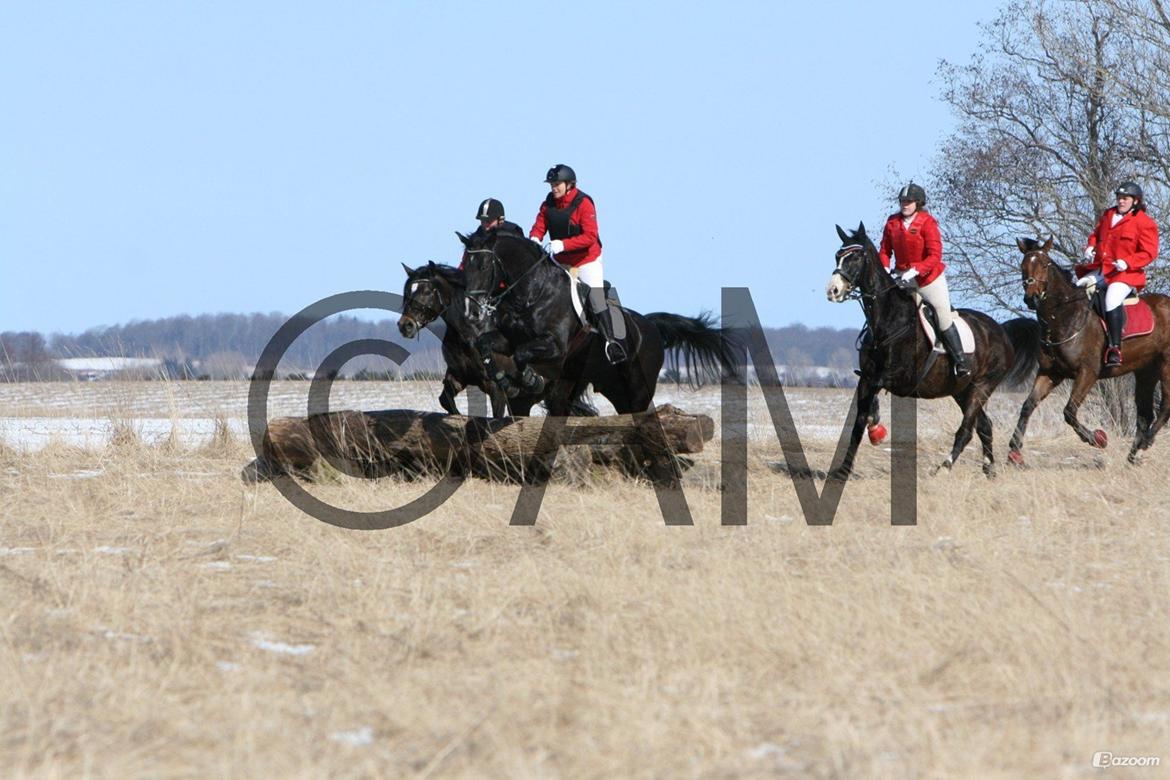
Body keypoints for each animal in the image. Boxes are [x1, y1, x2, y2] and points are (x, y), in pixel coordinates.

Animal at [456, 230, 730, 418]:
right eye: (465, 265)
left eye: (483, 265)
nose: (471, 310)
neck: (533, 293)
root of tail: (649, 325)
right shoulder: (509, 340)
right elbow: (485, 345)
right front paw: (503, 380)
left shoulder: (555, 347)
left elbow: (523, 355)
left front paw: (529, 379)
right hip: (612, 386)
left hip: (639, 387)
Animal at [828, 222, 1038, 479]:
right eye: (837, 256)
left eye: (856, 257)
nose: (833, 290)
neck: (889, 321)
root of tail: (1001, 331)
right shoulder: (866, 378)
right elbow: (858, 424)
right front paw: (843, 470)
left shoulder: (899, 377)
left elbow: (874, 398)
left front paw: (876, 427)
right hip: (962, 390)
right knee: (984, 427)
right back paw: (989, 470)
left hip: (982, 386)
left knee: (967, 430)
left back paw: (944, 467)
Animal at [1006, 238, 1170, 463]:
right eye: (1023, 266)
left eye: (1044, 264)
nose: (1031, 298)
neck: (1065, 317)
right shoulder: (1051, 373)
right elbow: (1028, 405)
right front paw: (1014, 450)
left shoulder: (1087, 373)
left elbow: (1069, 412)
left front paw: (1097, 438)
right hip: (1146, 370)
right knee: (1145, 414)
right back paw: (1133, 455)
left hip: (1165, 365)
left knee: (1165, 406)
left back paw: (1146, 442)